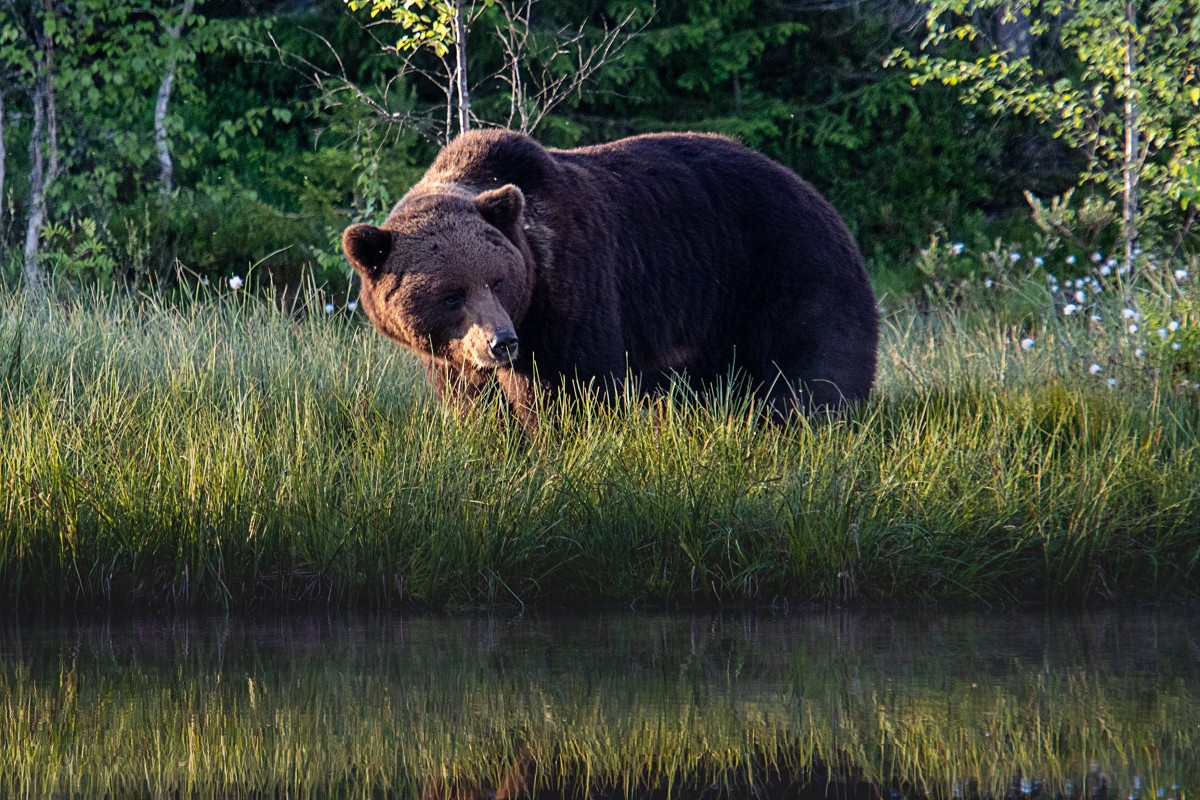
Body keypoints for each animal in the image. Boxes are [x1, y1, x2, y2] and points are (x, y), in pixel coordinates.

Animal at [343, 133, 878, 424]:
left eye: (496, 281)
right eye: (452, 294)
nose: (502, 342)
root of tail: (823, 201)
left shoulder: (572, 292)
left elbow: (575, 390)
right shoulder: (454, 356)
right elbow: (477, 406)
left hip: (790, 273)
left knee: (815, 373)